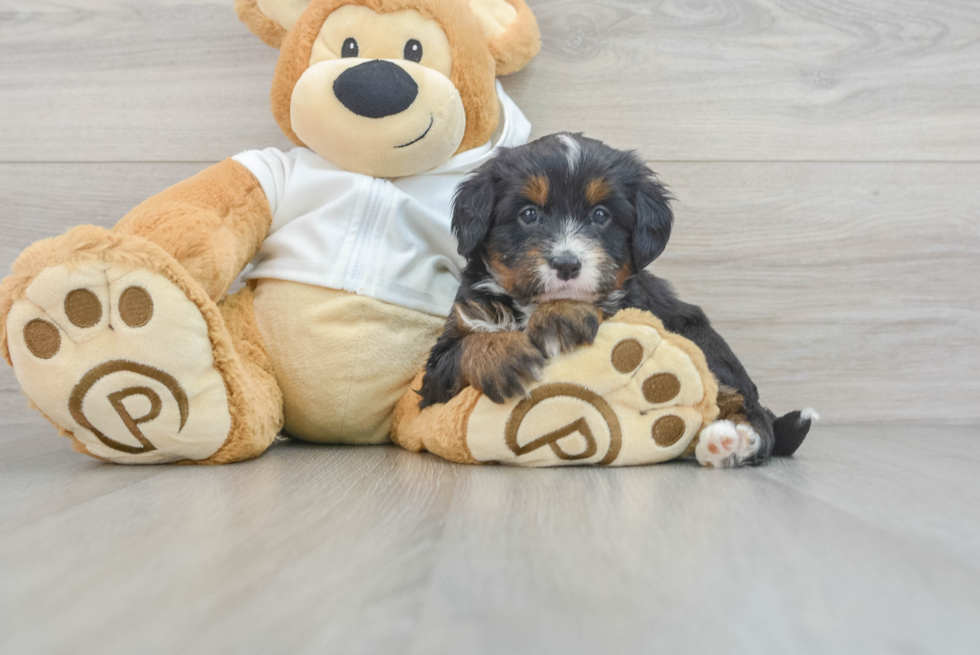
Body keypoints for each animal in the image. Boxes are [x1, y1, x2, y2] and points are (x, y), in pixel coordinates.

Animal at [420, 132, 812, 466]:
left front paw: (560, 315)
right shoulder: (437, 372)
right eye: (529, 214)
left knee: (747, 406)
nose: (567, 264)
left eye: (600, 215)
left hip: (699, 338)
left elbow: (601, 306)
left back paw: (733, 440)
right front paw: (502, 356)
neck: (530, 302)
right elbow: (463, 349)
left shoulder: (634, 307)